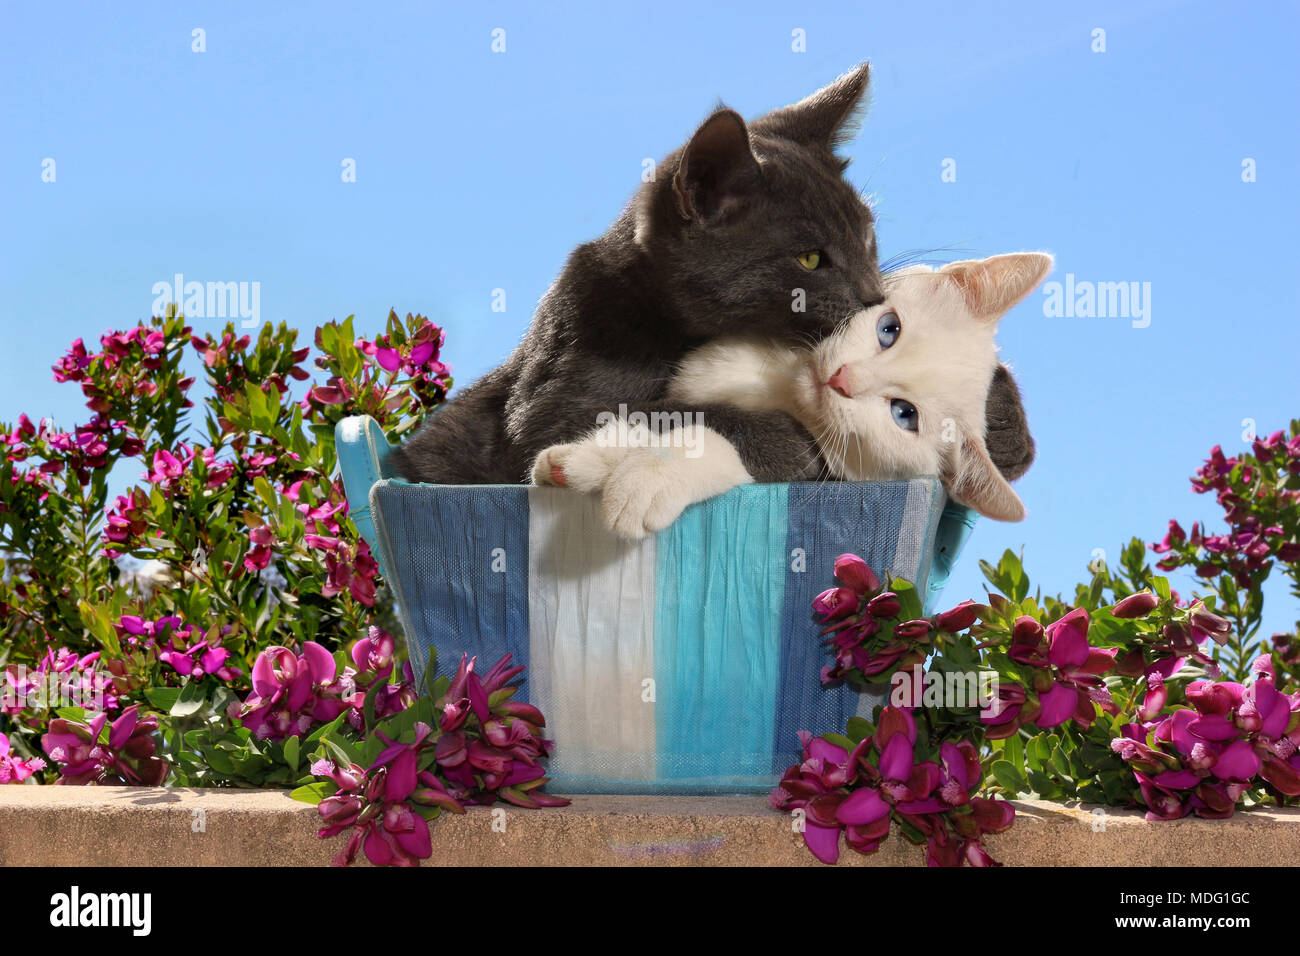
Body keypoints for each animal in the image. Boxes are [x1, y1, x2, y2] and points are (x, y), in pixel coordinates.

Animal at [387, 65, 1034, 494]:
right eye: (809, 260)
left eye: (868, 237)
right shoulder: (547, 413)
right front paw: (786, 442)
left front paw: (1002, 420)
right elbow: (659, 410)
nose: (873, 298)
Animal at [527, 252, 1045, 538]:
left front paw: (649, 478)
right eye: (889, 330)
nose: (843, 379)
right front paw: (583, 460)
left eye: (904, 414)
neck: (781, 385)